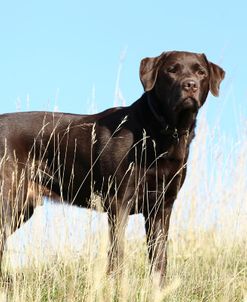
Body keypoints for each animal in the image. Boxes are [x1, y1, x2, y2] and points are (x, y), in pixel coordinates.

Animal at [0, 51, 224, 286]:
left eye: (201, 72)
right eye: (171, 70)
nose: (190, 85)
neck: (161, 135)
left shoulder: (162, 206)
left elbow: (159, 256)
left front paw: (158, 288)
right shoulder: (119, 202)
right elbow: (117, 253)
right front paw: (115, 286)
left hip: (22, 206)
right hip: (8, 201)